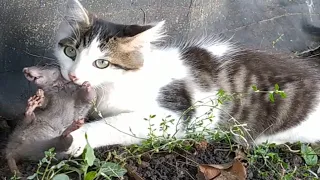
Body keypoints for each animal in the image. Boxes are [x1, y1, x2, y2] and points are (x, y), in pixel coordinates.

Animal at [53, 0, 320, 157]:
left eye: (101, 63)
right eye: (71, 52)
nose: (73, 75)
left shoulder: (172, 116)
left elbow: (114, 123)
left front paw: (77, 138)